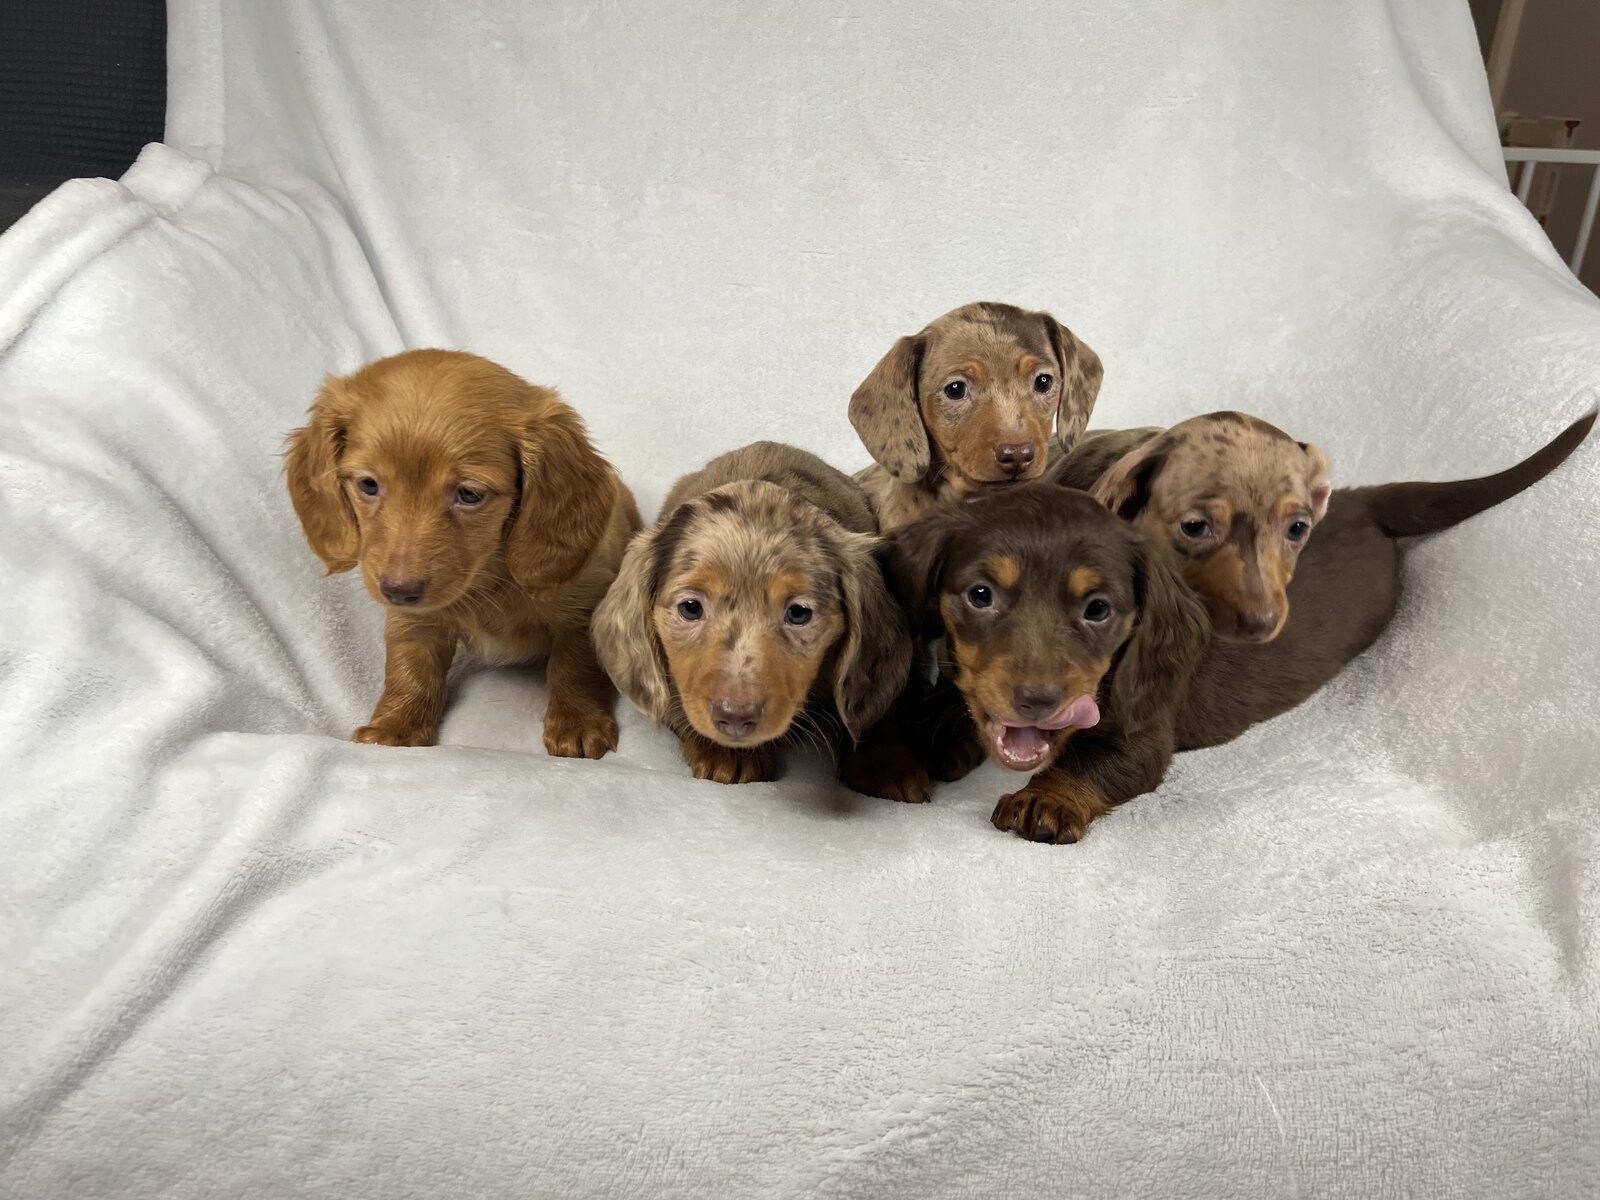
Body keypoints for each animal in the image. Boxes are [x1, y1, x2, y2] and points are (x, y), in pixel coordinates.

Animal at [283, 349, 641, 756]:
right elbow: (410, 668)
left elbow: (574, 665)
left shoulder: (585, 604)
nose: (397, 590)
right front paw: (395, 727)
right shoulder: (414, 620)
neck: (489, 578)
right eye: (369, 485)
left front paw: (578, 723)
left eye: (469, 494)